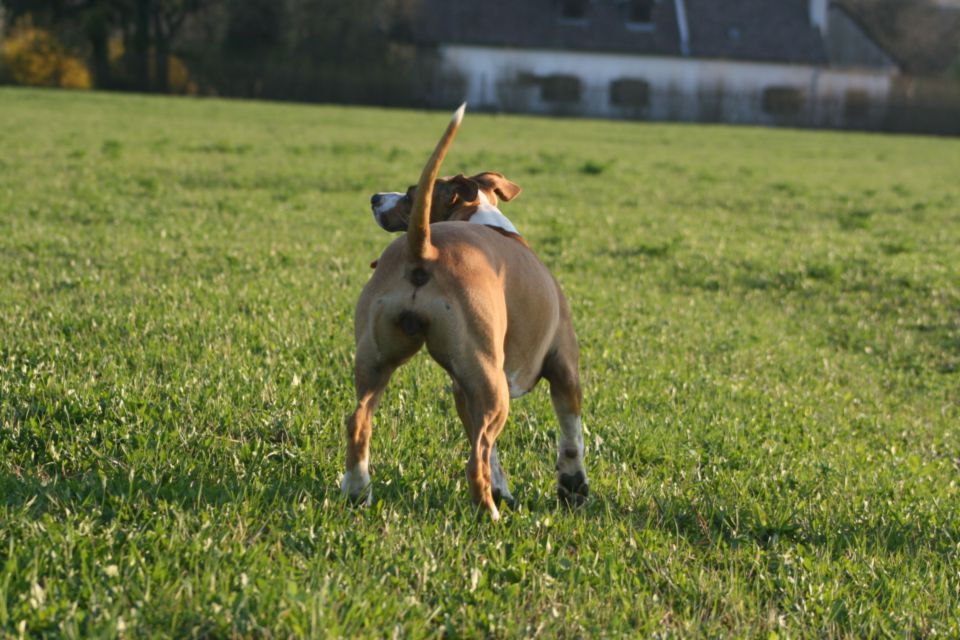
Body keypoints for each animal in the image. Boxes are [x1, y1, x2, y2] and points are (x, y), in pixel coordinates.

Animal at [342, 101, 588, 520]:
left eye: (411, 193)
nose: (374, 197)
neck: (481, 218)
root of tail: (423, 249)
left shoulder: (463, 388)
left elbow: (491, 451)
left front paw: (505, 486)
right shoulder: (564, 366)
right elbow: (571, 435)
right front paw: (573, 485)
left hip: (378, 361)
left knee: (360, 421)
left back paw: (357, 491)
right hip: (492, 385)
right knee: (476, 459)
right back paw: (488, 512)